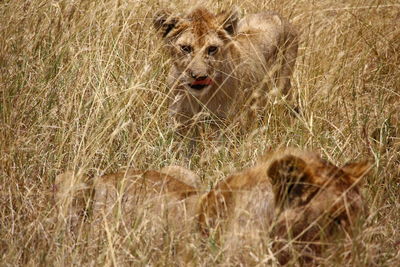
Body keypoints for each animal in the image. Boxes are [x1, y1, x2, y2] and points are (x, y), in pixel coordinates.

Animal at [54, 150, 370, 264]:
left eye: (361, 217)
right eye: (337, 219)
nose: (361, 257)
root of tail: (106, 175)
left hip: (183, 172)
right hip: (72, 180)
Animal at [153, 7, 296, 134]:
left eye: (212, 49)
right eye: (185, 48)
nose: (199, 77)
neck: (201, 97)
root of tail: (276, 14)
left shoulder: (222, 123)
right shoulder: (180, 121)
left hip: (282, 87)